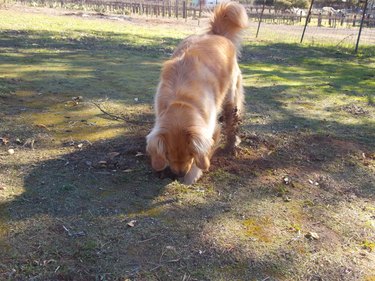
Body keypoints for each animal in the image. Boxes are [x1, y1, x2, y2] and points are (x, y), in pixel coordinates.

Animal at [147, 2, 250, 185]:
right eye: (167, 154)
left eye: (191, 154)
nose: (178, 174)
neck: (182, 100)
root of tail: (218, 35)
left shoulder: (210, 128)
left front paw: (191, 176)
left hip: (231, 97)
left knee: (232, 121)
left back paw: (232, 144)